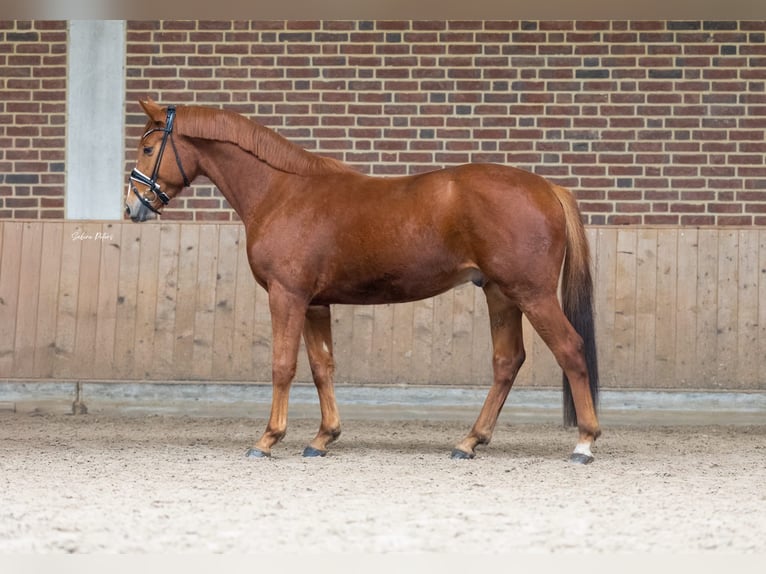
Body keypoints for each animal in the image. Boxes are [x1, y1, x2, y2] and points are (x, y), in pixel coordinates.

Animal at [125, 98, 601, 464]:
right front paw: (322, 438)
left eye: (148, 147)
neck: (283, 191)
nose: (133, 206)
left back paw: (584, 442)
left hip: (532, 295)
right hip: (501, 294)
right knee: (507, 361)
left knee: (570, 349)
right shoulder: (315, 303)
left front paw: (267, 439)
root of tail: (548, 188)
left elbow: (283, 364)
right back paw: (469, 442)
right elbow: (322, 366)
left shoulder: (287, 296)